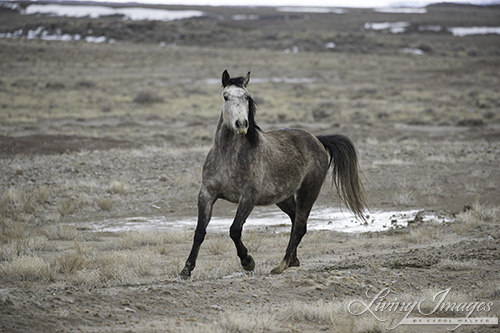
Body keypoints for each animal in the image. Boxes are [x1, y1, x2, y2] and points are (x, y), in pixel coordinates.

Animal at [180, 70, 368, 278]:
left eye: (246, 97)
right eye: (225, 96)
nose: (241, 124)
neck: (228, 157)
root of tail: (317, 140)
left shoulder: (248, 197)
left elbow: (235, 230)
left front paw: (248, 262)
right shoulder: (206, 194)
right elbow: (199, 231)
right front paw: (186, 269)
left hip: (308, 191)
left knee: (299, 225)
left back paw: (282, 264)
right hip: (283, 198)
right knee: (297, 222)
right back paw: (293, 260)